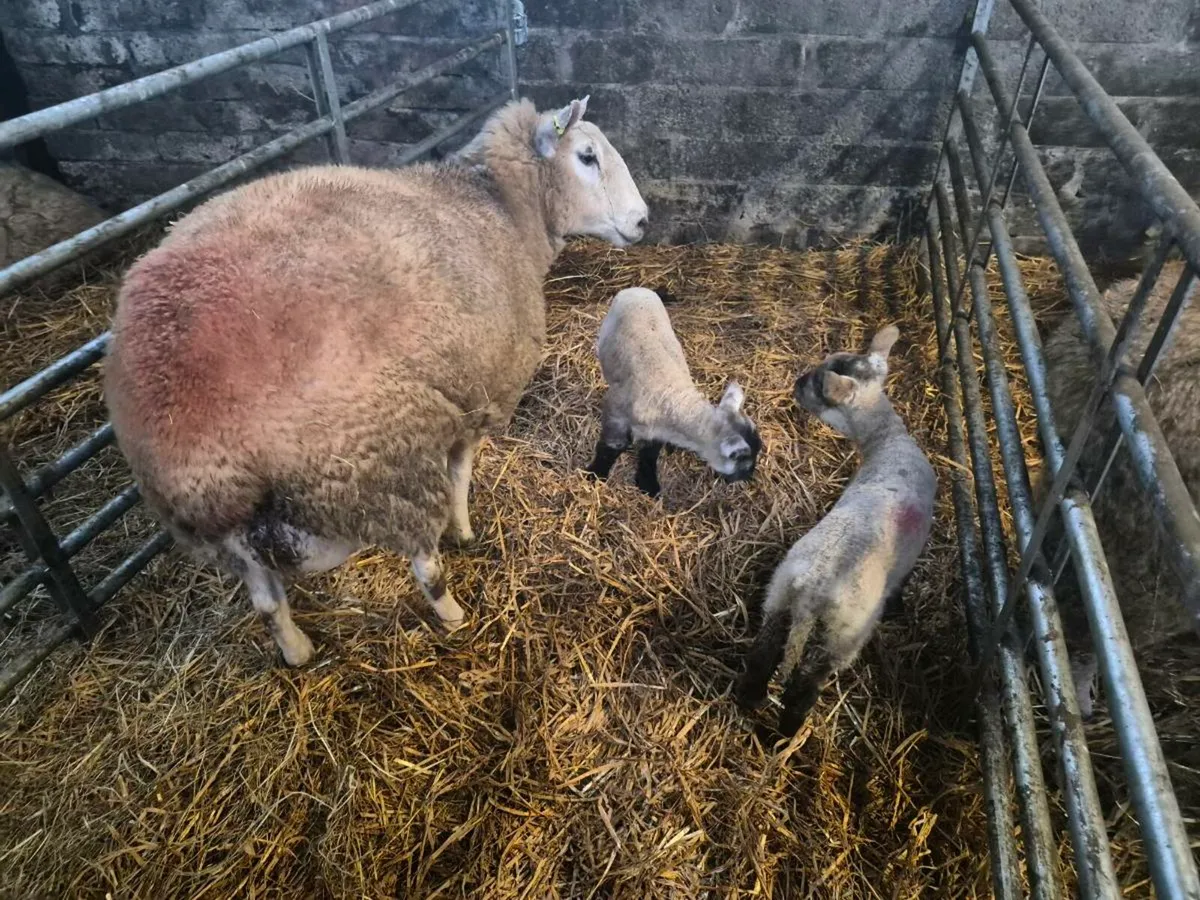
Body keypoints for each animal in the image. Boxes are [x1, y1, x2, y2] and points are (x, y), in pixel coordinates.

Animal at [103, 96, 649, 666]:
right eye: (587, 155)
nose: (643, 221)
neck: (498, 207)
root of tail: (202, 463)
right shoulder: (473, 396)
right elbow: (460, 475)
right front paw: (464, 530)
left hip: (230, 537)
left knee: (267, 600)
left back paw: (299, 652)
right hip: (377, 464)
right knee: (425, 564)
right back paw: (454, 615)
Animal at [583, 287, 761, 497]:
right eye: (744, 464)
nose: (749, 478)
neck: (671, 394)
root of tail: (639, 288)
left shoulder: (655, 430)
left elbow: (650, 452)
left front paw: (648, 483)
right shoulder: (615, 410)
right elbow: (612, 444)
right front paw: (596, 473)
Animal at [735, 325, 936, 736]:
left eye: (817, 384)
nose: (796, 383)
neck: (888, 442)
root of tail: (813, 590)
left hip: (779, 595)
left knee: (762, 656)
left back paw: (748, 701)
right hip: (842, 636)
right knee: (803, 687)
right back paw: (787, 733)